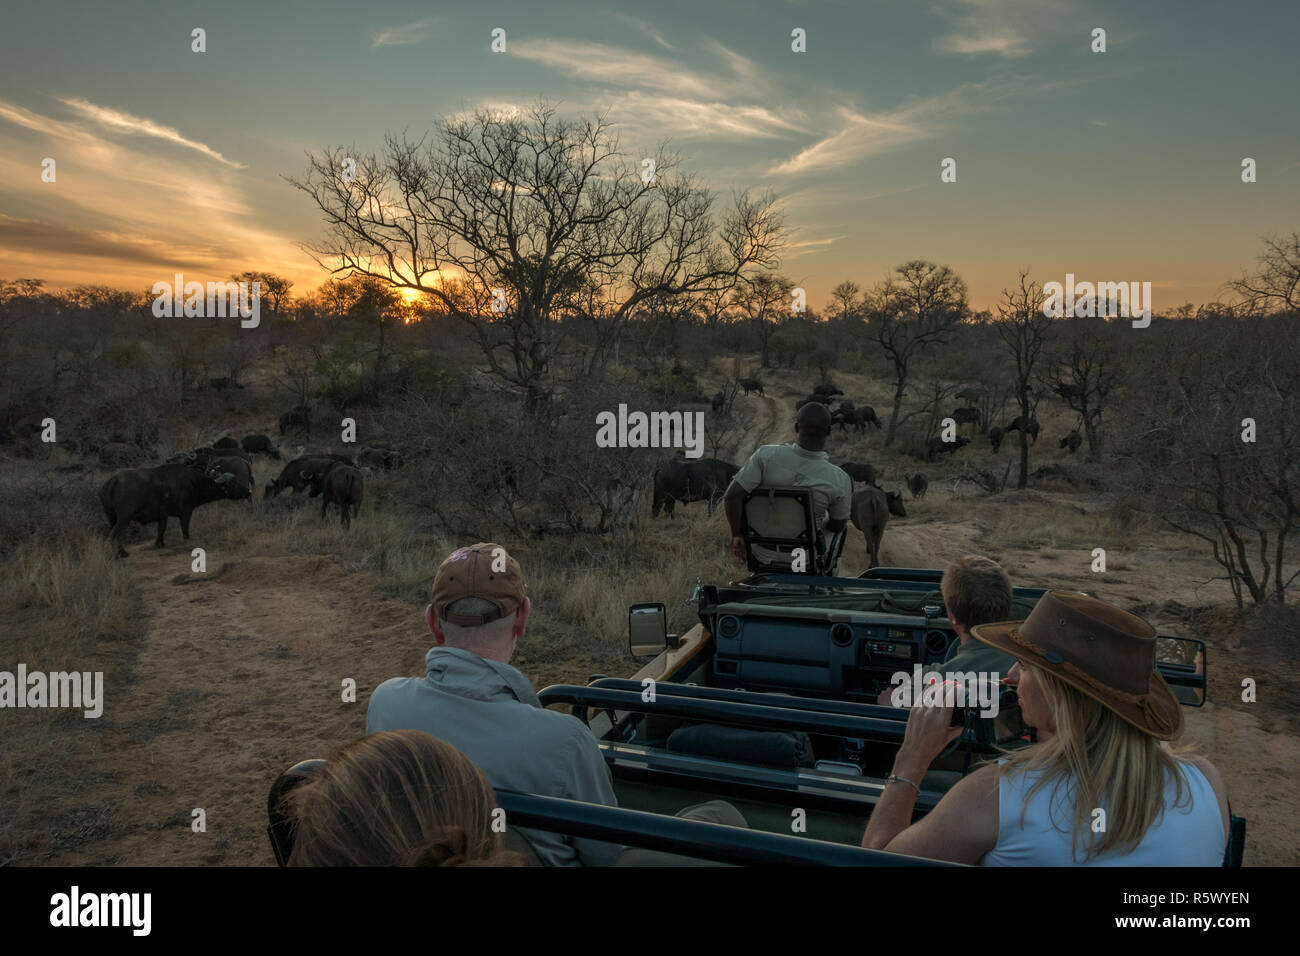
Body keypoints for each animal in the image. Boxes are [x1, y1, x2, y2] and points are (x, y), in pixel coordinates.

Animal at [100, 460, 249, 556]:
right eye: (234, 483)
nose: (248, 492)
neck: (194, 482)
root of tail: (113, 481)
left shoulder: (163, 516)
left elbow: (161, 530)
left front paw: (159, 544)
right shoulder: (186, 512)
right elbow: (185, 529)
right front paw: (188, 541)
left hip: (111, 517)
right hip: (124, 518)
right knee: (115, 534)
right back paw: (121, 553)